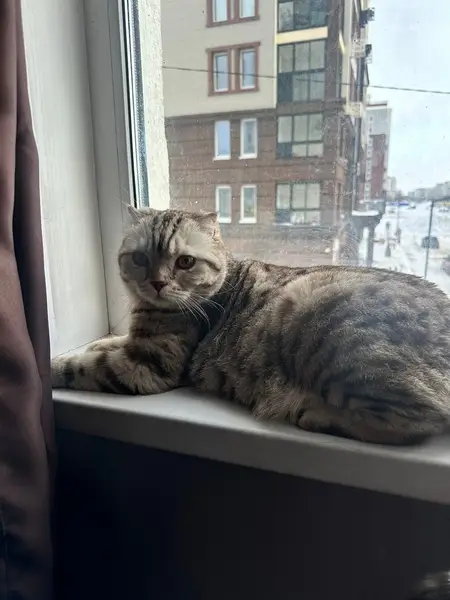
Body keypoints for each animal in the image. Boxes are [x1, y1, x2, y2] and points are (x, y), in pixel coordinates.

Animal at [52, 207, 450, 445]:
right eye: (138, 258)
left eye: (185, 262)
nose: (158, 283)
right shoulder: (135, 342)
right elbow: (112, 342)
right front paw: (100, 342)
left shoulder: (146, 367)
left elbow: (80, 366)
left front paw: (55, 366)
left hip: (319, 317)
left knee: (419, 421)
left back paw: (320, 416)